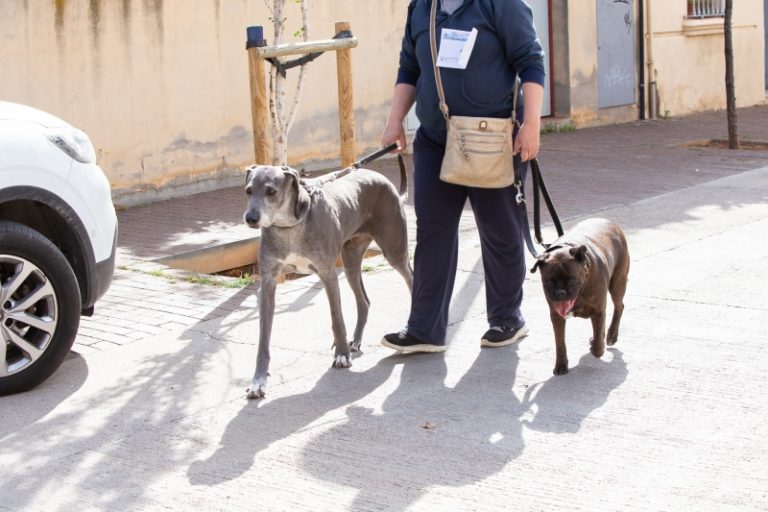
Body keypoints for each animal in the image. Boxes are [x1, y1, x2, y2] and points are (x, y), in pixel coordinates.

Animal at [242, 163, 412, 399]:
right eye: (248, 191)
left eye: (271, 191)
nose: (251, 218)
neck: (290, 225)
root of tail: (385, 181)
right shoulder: (268, 281)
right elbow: (263, 338)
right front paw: (258, 381)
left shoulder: (328, 274)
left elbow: (337, 318)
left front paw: (341, 356)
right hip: (350, 260)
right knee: (364, 301)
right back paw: (356, 341)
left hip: (394, 251)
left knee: (411, 280)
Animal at [530, 218, 629, 375]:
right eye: (549, 282)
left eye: (571, 280)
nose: (560, 292)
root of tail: (609, 222)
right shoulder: (556, 317)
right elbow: (560, 342)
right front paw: (561, 364)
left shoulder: (598, 311)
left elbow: (597, 346)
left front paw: (596, 347)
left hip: (618, 283)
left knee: (619, 307)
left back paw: (611, 336)